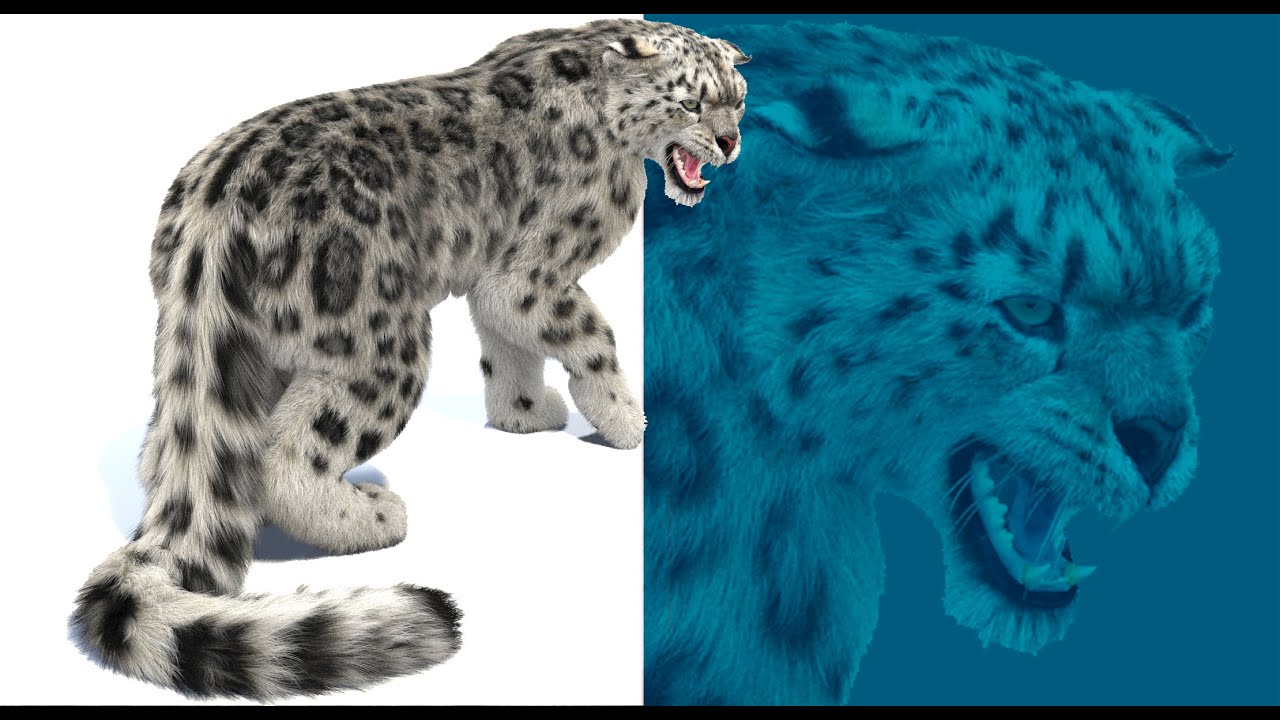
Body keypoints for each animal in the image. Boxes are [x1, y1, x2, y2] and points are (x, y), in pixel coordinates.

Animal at [71, 18, 748, 700]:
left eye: (737, 99)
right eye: (692, 103)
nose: (729, 142)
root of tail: (209, 226)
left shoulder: (497, 285)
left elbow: (508, 352)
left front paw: (526, 414)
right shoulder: (530, 276)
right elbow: (593, 336)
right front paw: (626, 420)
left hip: (227, 357)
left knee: (176, 452)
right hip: (387, 346)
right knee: (286, 455)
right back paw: (372, 514)